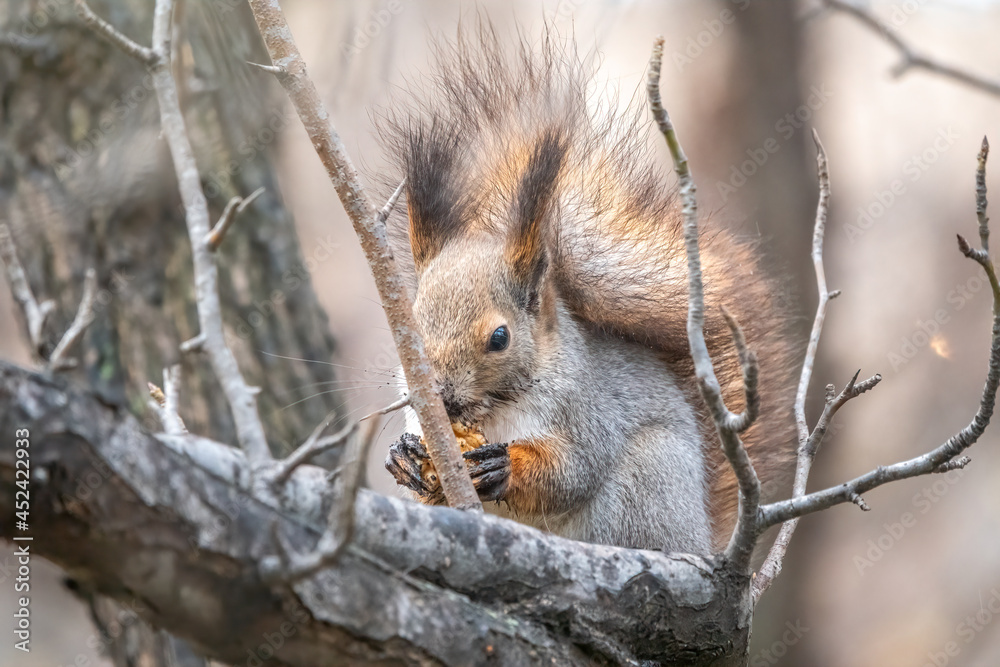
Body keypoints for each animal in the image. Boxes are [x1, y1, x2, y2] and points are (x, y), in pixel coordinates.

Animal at [379, 27, 797, 556]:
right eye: (407, 331)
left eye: (500, 338)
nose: (444, 400)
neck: (496, 410)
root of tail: (701, 540)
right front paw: (404, 458)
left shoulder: (590, 411)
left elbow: (572, 472)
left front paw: (503, 466)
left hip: (646, 483)